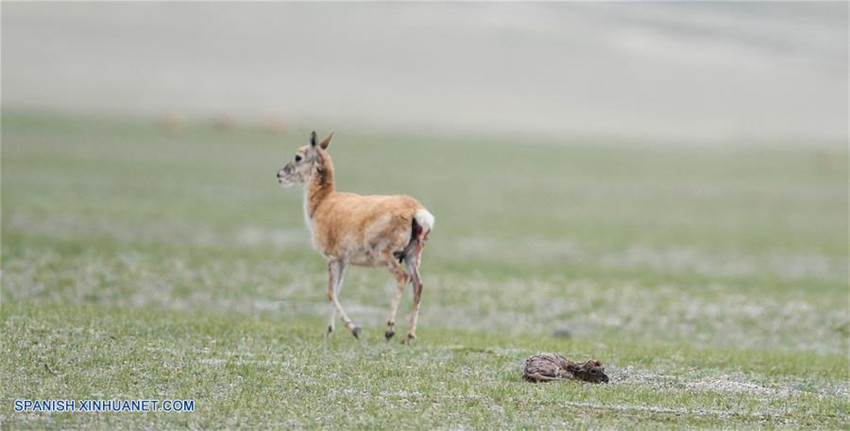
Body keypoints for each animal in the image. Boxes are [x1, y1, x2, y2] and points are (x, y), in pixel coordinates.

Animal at [278, 130, 434, 342]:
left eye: (298, 156)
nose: (279, 174)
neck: (324, 202)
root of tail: (416, 211)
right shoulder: (343, 261)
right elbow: (337, 290)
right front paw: (329, 330)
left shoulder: (333, 258)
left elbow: (330, 291)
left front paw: (354, 329)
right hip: (412, 256)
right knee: (418, 284)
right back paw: (409, 335)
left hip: (386, 256)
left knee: (402, 277)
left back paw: (389, 329)